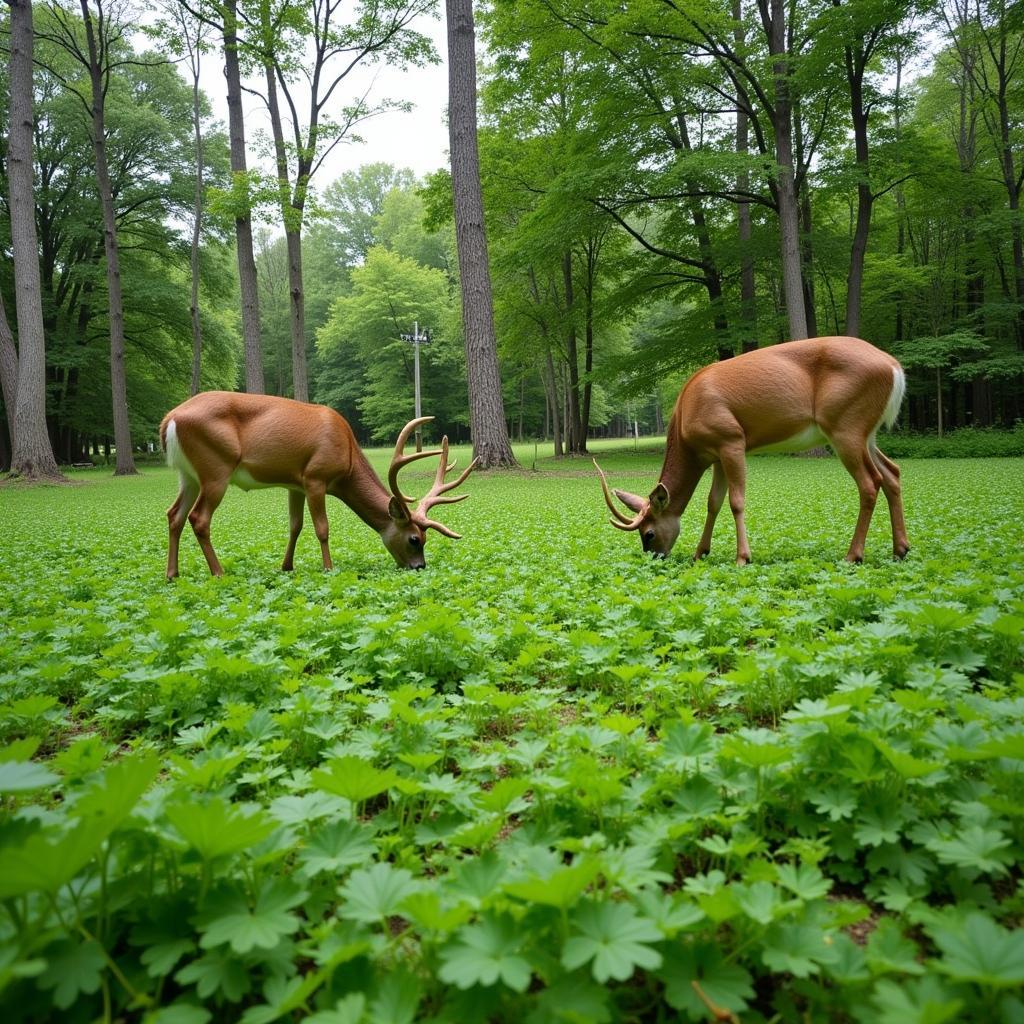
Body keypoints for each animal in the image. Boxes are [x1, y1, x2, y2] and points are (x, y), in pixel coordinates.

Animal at [159, 391, 479, 581]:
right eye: (415, 539)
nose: (419, 567)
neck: (347, 459)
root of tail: (169, 420)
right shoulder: (315, 477)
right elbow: (322, 528)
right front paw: (328, 567)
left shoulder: (295, 484)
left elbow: (295, 525)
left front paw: (286, 566)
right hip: (216, 469)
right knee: (199, 518)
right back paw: (218, 572)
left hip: (188, 474)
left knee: (174, 514)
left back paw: (172, 573)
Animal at [598, 335, 909, 565]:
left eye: (648, 533)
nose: (656, 557)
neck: (686, 420)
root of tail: (894, 368)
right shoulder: (716, 455)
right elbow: (713, 502)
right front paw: (701, 553)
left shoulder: (731, 439)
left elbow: (736, 501)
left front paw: (742, 557)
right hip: (866, 433)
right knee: (892, 472)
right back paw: (900, 549)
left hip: (846, 425)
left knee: (870, 482)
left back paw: (853, 555)